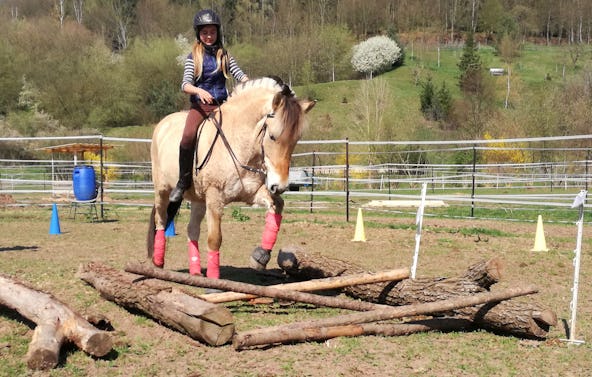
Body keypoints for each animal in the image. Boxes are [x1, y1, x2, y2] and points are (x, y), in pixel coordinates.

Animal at [147, 75, 314, 276]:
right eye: (273, 136)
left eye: (296, 140)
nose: (280, 186)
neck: (239, 144)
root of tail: (162, 124)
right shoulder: (214, 198)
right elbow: (214, 239)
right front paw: (213, 278)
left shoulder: (251, 193)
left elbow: (277, 206)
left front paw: (260, 256)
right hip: (163, 191)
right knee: (161, 220)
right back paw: (157, 262)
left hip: (198, 199)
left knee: (192, 230)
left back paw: (195, 272)